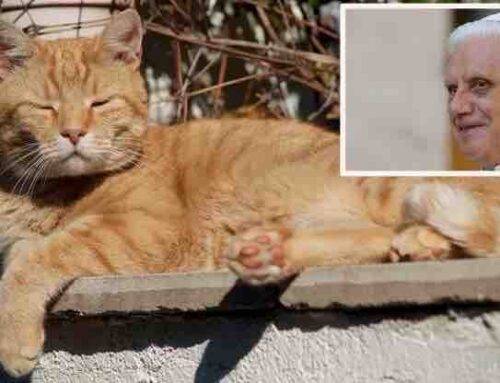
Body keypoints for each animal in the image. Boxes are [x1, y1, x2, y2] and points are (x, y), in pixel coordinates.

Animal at [0, 9, 500, 378]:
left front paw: (13, 338)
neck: (47, 193)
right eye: (45, 108)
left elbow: (41, 256)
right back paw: (269, 253)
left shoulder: (143, 229)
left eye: (99, 103)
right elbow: (25, 252)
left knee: (482, 227)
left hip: (386, 189)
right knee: (371, 240)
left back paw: (425, 241)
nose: (73, 133)